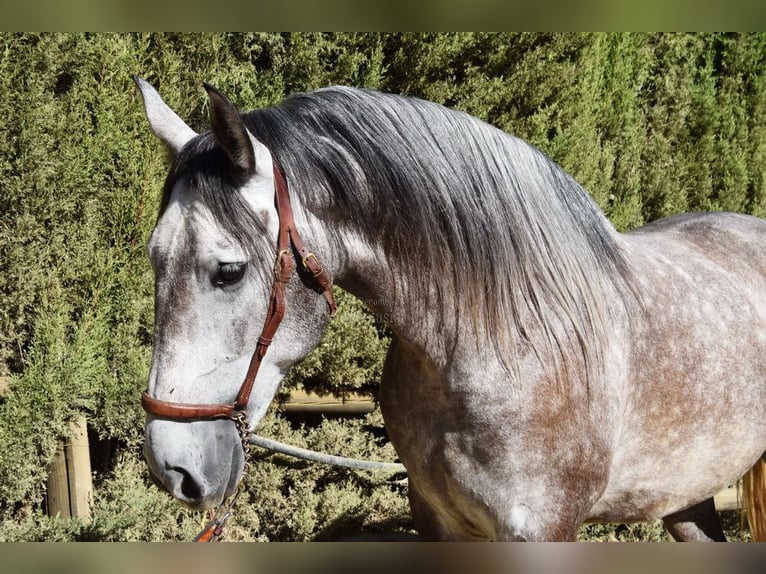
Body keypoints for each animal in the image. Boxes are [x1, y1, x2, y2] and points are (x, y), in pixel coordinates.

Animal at [134, 76, 766, 541]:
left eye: (229, 271)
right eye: (153, 258)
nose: (172, 469)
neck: (503, 344)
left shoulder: (542, 530)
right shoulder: (437, 519)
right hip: (689, 496)